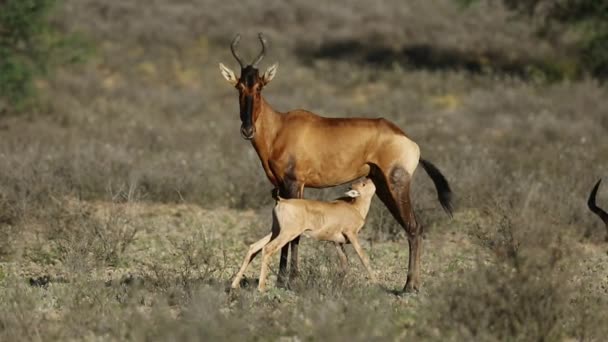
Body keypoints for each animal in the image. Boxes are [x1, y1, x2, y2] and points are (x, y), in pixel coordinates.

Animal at [232, 176, 376, 292]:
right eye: (363, 184)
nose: (370, 177)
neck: (354, 206)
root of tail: (282, 200)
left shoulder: (337, 243)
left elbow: (344, 263)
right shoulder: (352, 235)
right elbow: (364, 258)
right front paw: (376, 282)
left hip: (275, 231)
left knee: (254, 247)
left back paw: (234, 285)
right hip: (287, 234)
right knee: (268, 249)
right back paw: (261, 288)